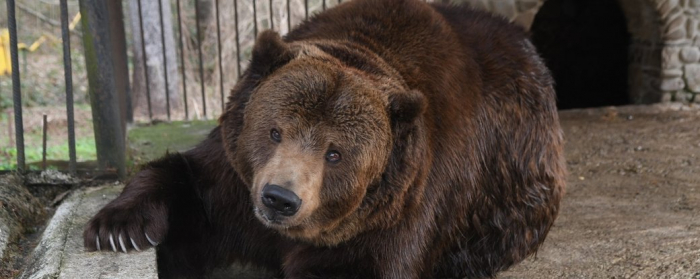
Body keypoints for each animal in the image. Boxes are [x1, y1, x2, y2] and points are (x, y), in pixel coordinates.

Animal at [83, 0, 564, 278]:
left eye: (336, 153)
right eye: (275, 130)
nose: (280, 198)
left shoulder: (400, 211)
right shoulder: (234, 184)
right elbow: (186, 183)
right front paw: (118, 229)